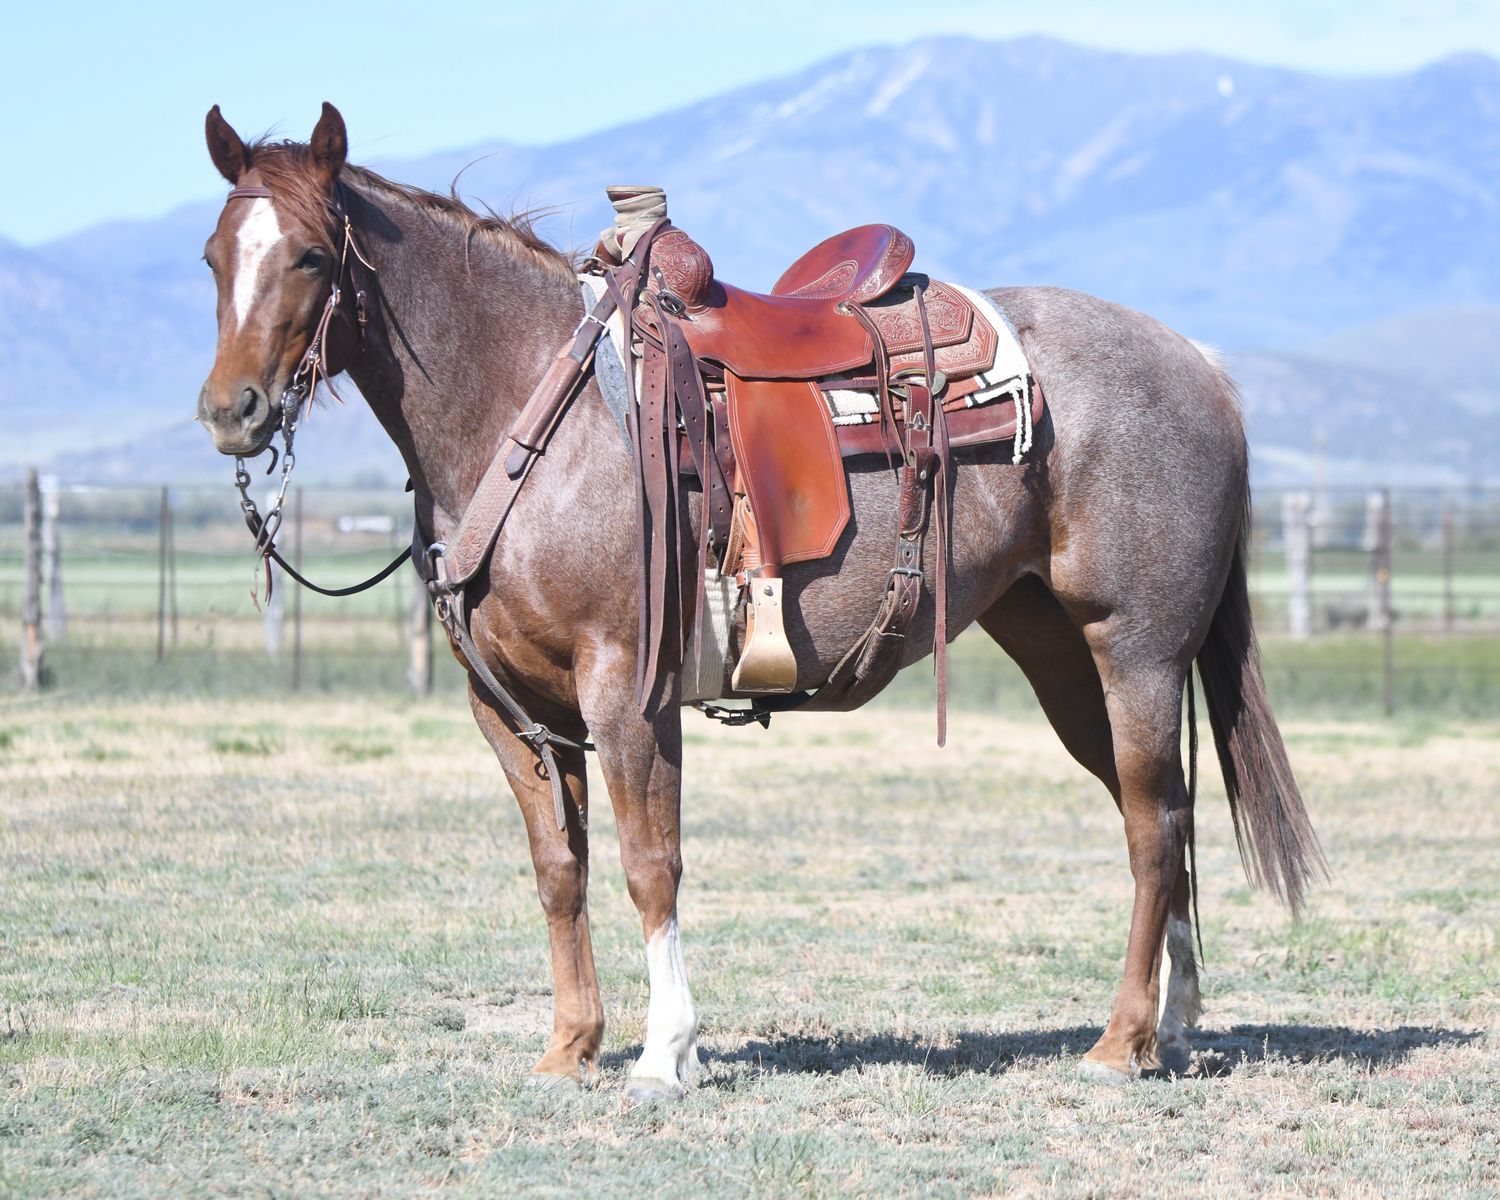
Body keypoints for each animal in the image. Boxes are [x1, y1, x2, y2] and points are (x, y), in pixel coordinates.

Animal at [196, 102, 1324, 1099]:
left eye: (309, 256)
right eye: (212, 257)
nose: (229, 411)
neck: (537, 416)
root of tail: (1199, 364)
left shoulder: (627, 692)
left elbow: (651, 863)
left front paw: (665, 1055)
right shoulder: (509, 708)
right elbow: (560, 869)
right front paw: (570, 1049)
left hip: (1136, 651)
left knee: (1152, 822)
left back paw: (1121, 1041)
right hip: (1059, 654)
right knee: (1162, 815)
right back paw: (1175, 1022)